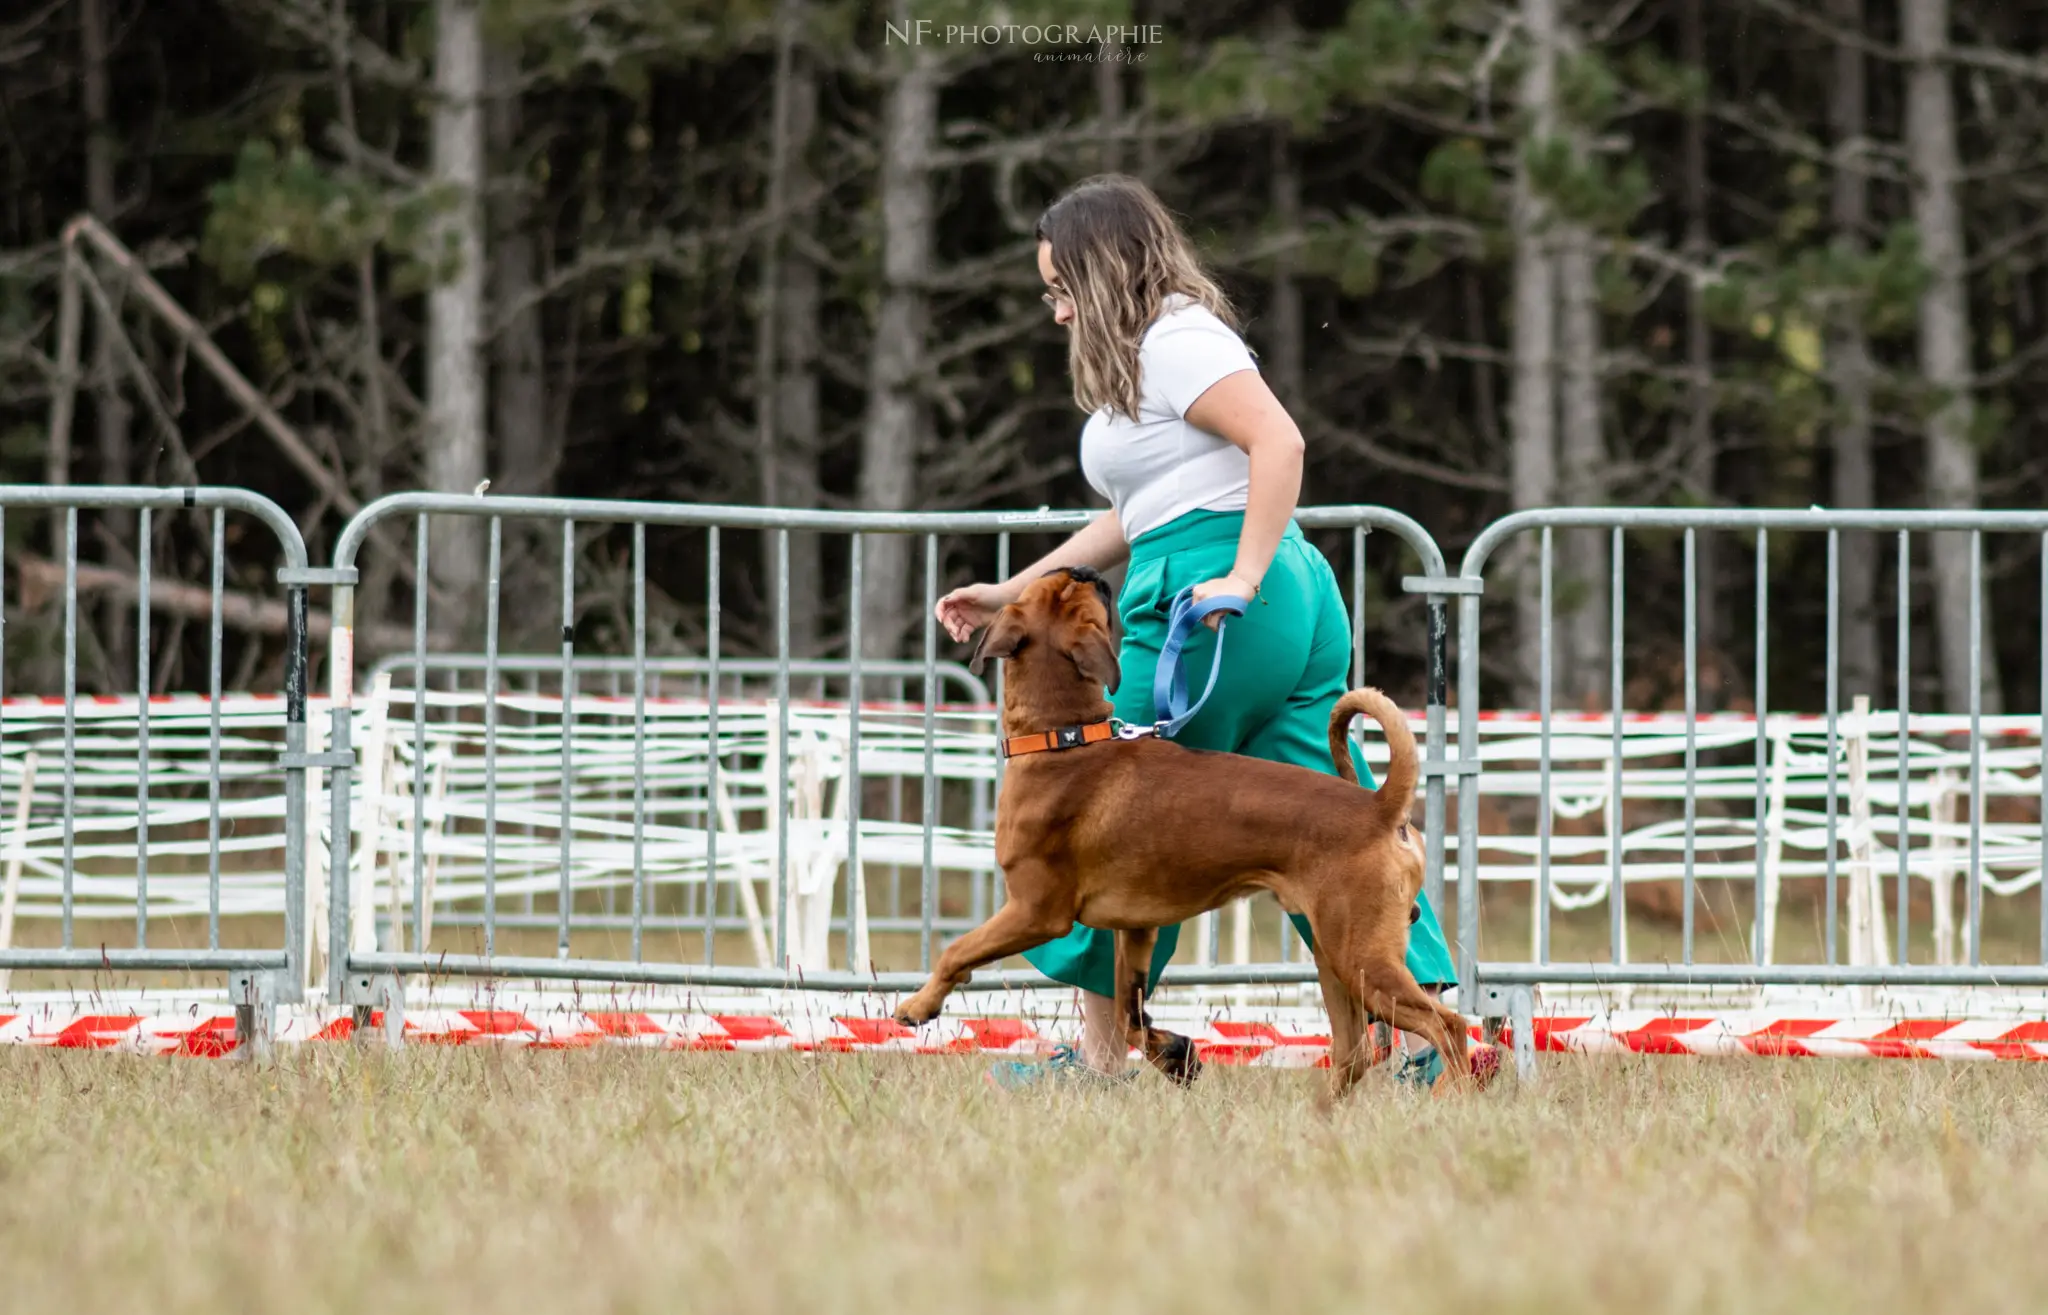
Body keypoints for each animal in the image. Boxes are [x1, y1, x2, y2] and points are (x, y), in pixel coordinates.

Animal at [888, 557, 1482, 1097]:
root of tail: (1379, 806)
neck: (1065, 737)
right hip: (1334, 959)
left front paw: (919, 1005)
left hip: (1360, 957)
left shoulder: (1035, 912)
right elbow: (1130, 1014)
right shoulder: (1135, 930)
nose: (1086, 569)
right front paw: (1175, 1054)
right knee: (1356, 1049)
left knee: (1448, 1026)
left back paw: (1448, 1096)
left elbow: (956, 951)